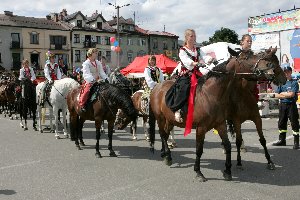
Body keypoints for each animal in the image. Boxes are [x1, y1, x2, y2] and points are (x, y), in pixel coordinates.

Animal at [148, 52, 276, 182]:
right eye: (246, 57)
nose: (270, 69)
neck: (210, 94)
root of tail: (156, 87)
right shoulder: (201, 128)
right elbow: (199, 150)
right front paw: (198, 172)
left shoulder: (220, 124)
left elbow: (228, 145)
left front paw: (227, 170)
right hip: (160, 118)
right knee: (162, 134)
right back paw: (167, 157)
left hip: (169, 120)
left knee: (166, 134)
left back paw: (165, 154)